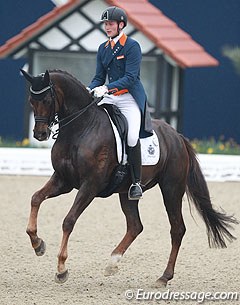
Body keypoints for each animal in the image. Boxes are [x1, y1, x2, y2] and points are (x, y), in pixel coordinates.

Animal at [21, 68, 238, 284]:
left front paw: (61, 269)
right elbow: (35, 198)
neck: (81, 128)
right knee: (135, 226)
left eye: (47, 100)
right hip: (127, 192)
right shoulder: (63, 180)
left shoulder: (90, 185)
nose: (40, 134)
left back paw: (164, 276)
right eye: (31, 100)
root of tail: (177, 136)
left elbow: (69, 220)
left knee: (177, 229)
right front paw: (38, 244)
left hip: (172, 189)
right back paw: (112, 263)